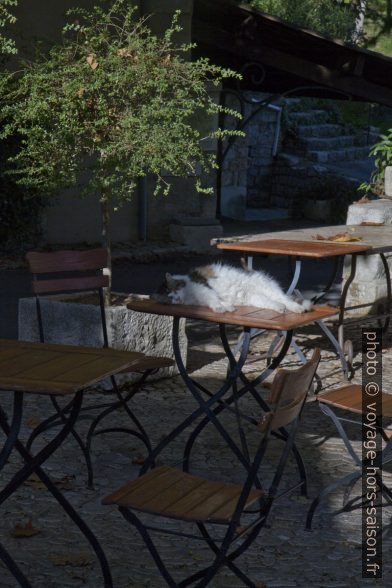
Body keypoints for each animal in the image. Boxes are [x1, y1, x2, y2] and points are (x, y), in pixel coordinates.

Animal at [154, 262, 312, 314]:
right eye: (168, 300)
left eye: (171, 291)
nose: (175, 299)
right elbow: (221, 302)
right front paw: (228, 308)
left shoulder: (205, 290)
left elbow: (214, 301)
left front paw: (220, 308)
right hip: (257, 299)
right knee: (275, 303)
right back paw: (280, 308)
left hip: (269, 289)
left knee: (286, 300)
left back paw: (298, 308)